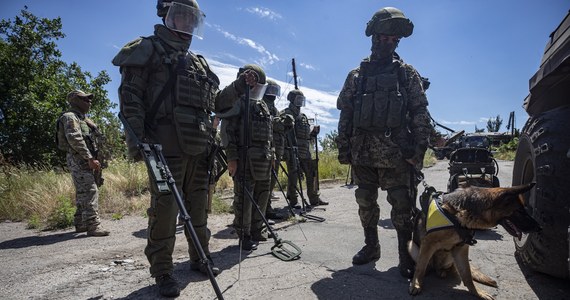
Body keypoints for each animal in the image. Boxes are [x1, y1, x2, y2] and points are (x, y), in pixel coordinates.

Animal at [408, 182, 536, 298]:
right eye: (520, 211)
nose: (538, 227)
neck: (458, 214)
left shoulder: (461, 249)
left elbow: (467, 275)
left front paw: (477, 292)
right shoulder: (427, 243)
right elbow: (420, 268)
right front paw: (416, 285)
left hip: (450, 255)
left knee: (450, 268)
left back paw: (442, 271)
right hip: (411, 246)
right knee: (424, 265)